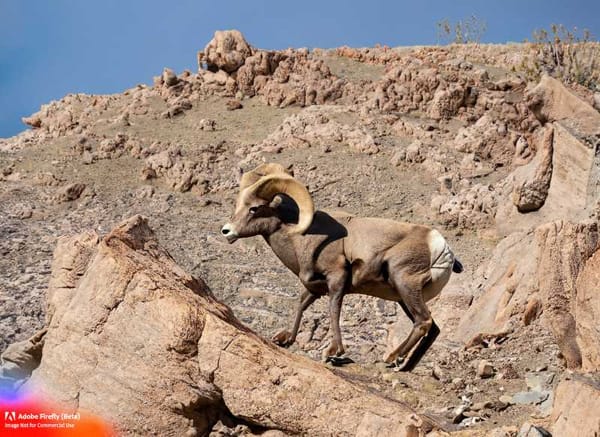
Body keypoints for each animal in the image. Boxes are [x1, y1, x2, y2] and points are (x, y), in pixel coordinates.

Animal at [223, 163, 462, 368]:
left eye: (254, 208)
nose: (226, 231)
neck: (302, 237)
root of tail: (441, 246)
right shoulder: (314, 287)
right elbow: (301, 304)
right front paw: (286, 339)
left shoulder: (336, 279)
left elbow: (334, 309)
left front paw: (333, 352)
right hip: (402, 297)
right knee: (431, 328)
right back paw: (404, 367)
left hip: (404, 283)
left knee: (423, 321)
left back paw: (392, 358)